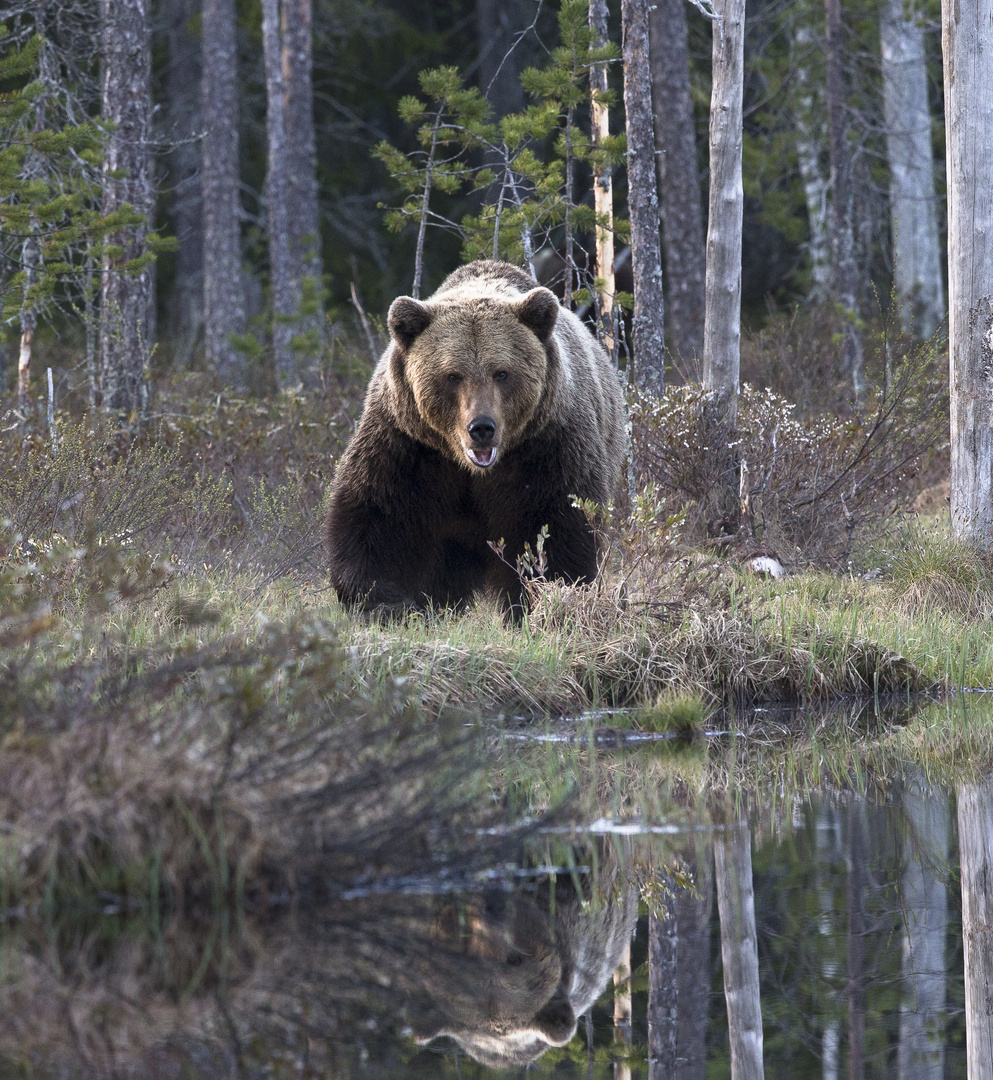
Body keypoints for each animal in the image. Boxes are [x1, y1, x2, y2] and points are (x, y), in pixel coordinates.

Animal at [321, 259, 626, 617]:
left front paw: (551, 596)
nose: (481, 427)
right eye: (453, 375)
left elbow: (557, 523)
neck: (471, 469)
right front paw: (386, 601)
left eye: (502, 373)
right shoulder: (408, 445)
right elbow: (378, 514)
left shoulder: (546, 446)